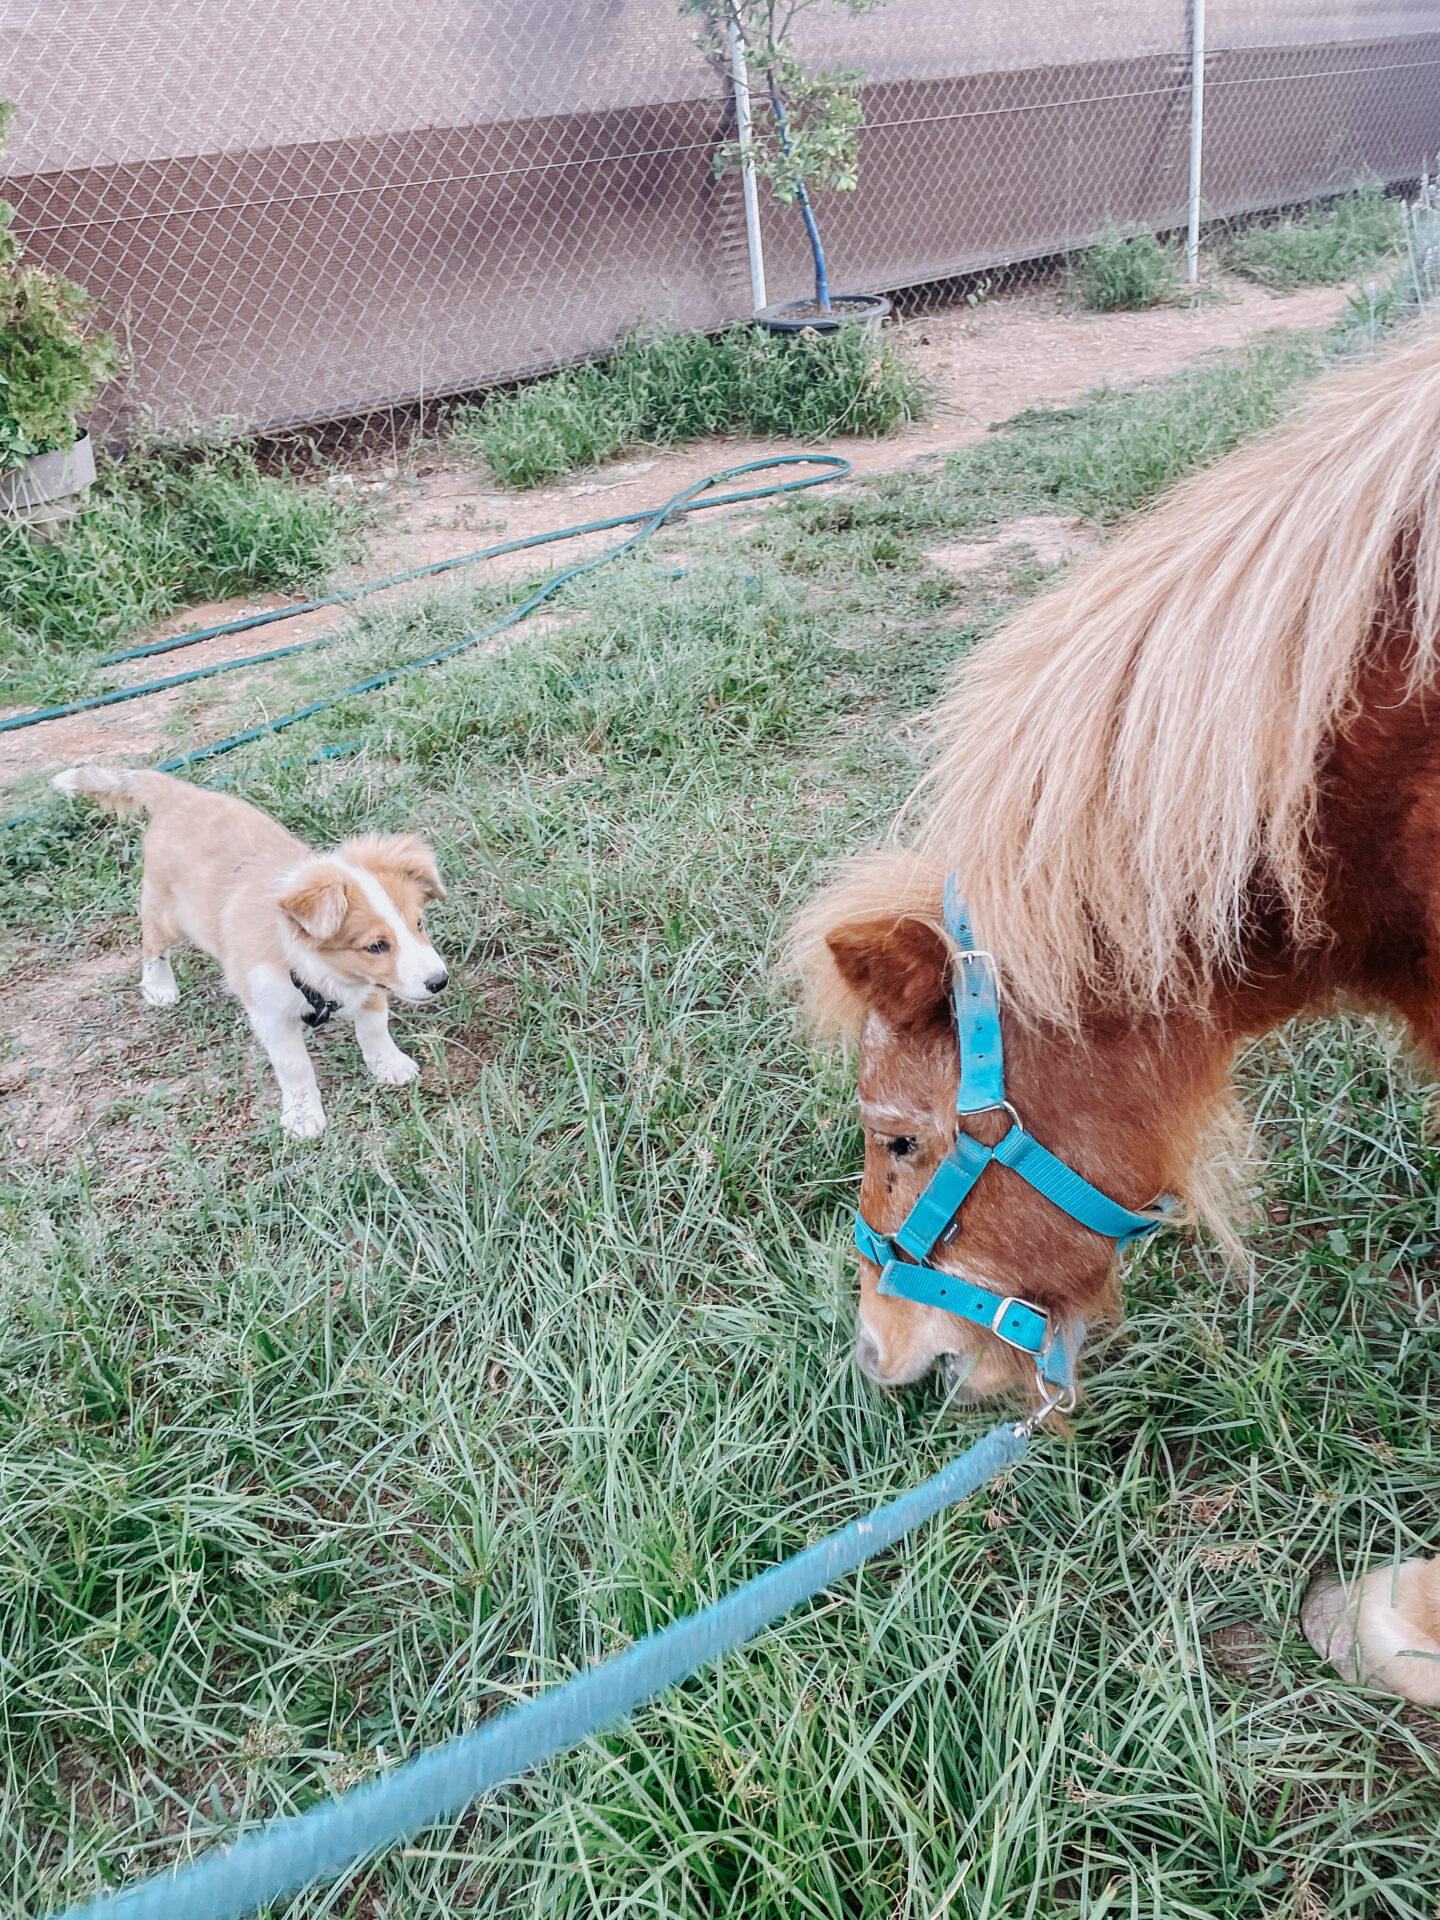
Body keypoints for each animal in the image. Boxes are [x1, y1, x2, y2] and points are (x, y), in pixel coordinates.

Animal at [54, 764, 451, 1136]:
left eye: (419, 924)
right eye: (376, 945)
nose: (439, 981)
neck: (316, 969)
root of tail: (177, 794)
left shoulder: (369, 987)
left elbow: (374, 1029)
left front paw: (390, 1066)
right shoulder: (269, 1014)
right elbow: (294, 1067)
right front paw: (304, 1117)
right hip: (165, 913)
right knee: (152, 945)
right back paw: (159, 986)